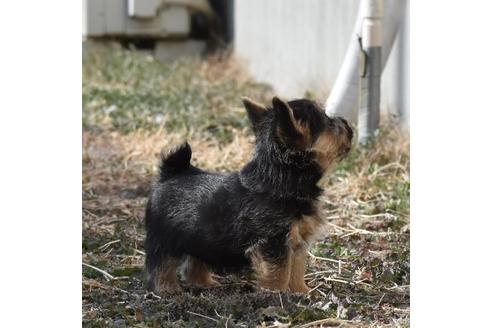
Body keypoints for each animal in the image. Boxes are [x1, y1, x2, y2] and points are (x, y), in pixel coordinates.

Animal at [144, 96, 352, 294]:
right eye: (331, 124)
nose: (347, 123)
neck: (280, 181)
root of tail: (172, 173)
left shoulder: (297, 243)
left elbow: (296, 268)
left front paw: (301, 292)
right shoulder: (273, 242)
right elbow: (280, 271)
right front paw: (275, 294)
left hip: (198, 238)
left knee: (195, 261)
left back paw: (204, 283)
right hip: (164, 238)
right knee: (161, 265)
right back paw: (167, 289)